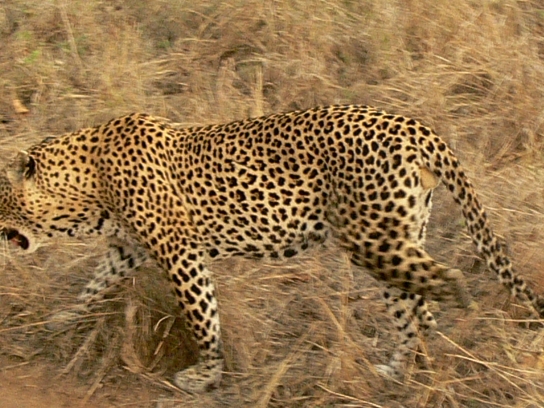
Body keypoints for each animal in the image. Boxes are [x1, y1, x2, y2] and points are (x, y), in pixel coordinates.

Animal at [1, 105, 543, 393]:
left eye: (0, 195)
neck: (86, 188)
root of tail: (414, 125)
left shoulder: (180, 254)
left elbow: (202, 319)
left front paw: (205, 375)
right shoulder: (129, 250)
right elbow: (93, 286)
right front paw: (59, 322)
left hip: (370, 239)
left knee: (444, 283)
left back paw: (443, 334)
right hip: (398, 235)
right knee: (413, 303)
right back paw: (403, 365)